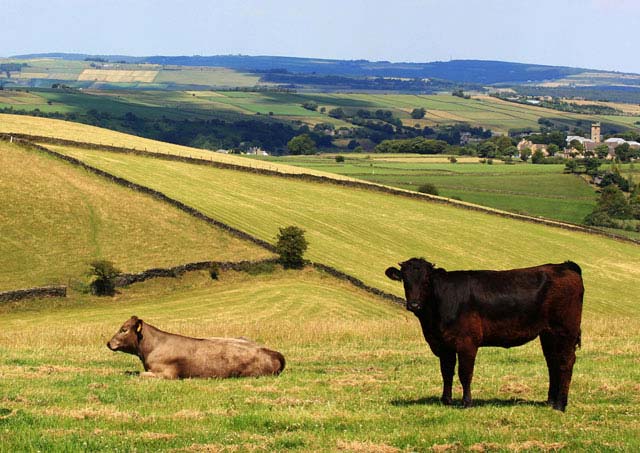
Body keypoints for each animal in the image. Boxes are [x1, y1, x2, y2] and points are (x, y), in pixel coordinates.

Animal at [385, 258, 583, 411]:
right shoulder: (443, 344)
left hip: (565, 331)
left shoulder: (467, 342)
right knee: (552, 363)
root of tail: (564, 266)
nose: (414, 305)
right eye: (405, 280)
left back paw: (560, 404)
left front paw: (466, 402)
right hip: (548, 334)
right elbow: (446, 372)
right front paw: (446, 400)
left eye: (426, 280)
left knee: (566, 362)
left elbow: (465, 373)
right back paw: (550, 401)